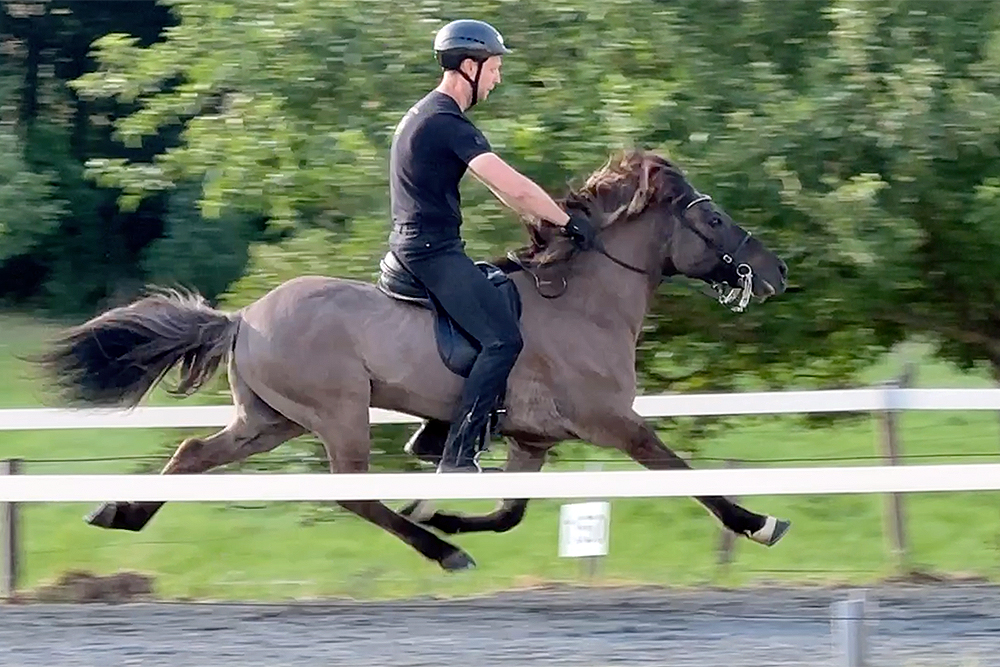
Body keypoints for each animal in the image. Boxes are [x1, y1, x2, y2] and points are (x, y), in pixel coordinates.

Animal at [35, 150, 788, 568]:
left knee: (194, 452)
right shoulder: (614, 423)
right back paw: (446, 555)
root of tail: (244, 317)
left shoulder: (533, 439)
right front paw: (759, 522)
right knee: (352, 494)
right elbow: (686, 474)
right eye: (712, 218)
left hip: (270, 421)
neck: (584, 301)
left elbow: (510, 510)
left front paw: (442, 512)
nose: (776, 272)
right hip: (339, 413)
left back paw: (122, 513)